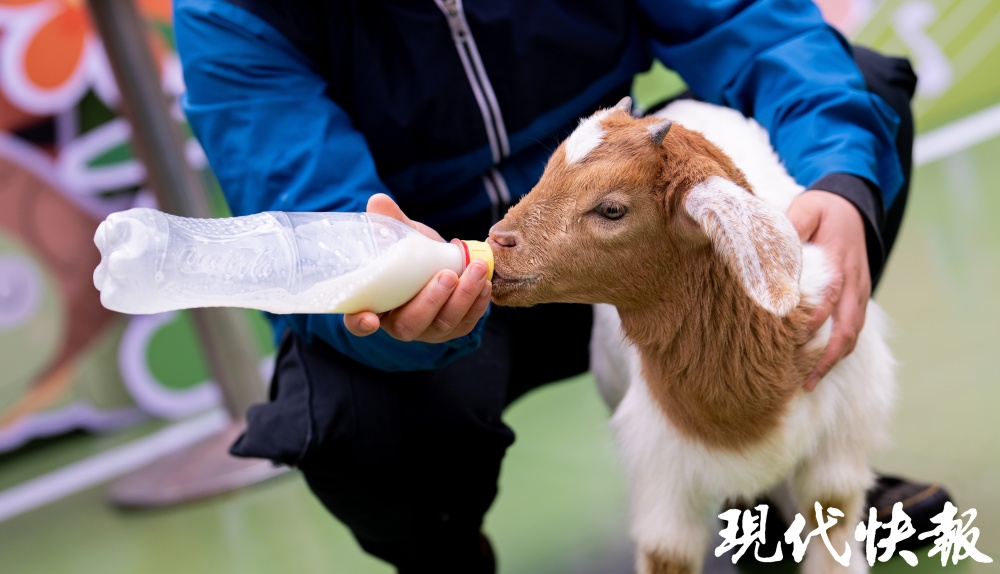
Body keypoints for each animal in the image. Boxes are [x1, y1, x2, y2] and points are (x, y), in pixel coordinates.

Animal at [488, 99, 896, 574]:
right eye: (547, 171)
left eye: (612, 210)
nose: (496, 244)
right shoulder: (662, 468)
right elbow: (668, 553)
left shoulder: (840, 435)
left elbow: (830, 513)